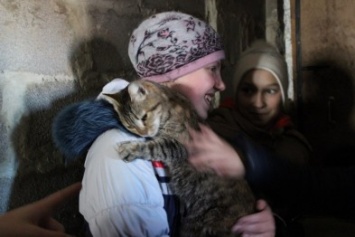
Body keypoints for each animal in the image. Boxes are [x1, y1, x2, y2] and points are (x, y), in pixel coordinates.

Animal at [100, 80, 256, 237]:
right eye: (130, 126)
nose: (143, 133)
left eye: (144, 117)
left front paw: (131, 148)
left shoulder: (182, 145)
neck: (169, 104)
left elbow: (154, 147)